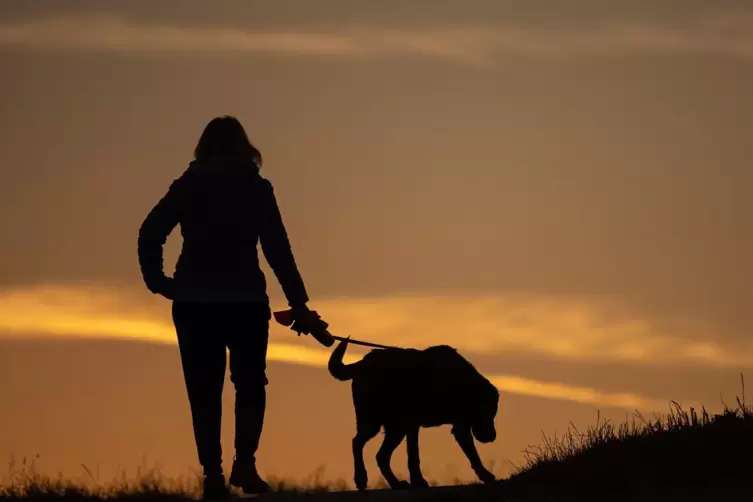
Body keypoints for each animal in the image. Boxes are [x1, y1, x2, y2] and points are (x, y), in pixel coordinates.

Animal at [328, 338, 500, 490]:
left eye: (493, 414)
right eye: (487, 413)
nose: (492, 437)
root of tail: (363, 363)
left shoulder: (458, 425)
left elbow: (472, 455)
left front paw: (484, 475)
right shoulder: (416, 424)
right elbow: (414, 456)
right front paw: (418, 480)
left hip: (395, 429)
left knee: (381, 456)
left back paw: (396, 484)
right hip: (373, 422)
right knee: (357, 443)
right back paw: (361, 478)